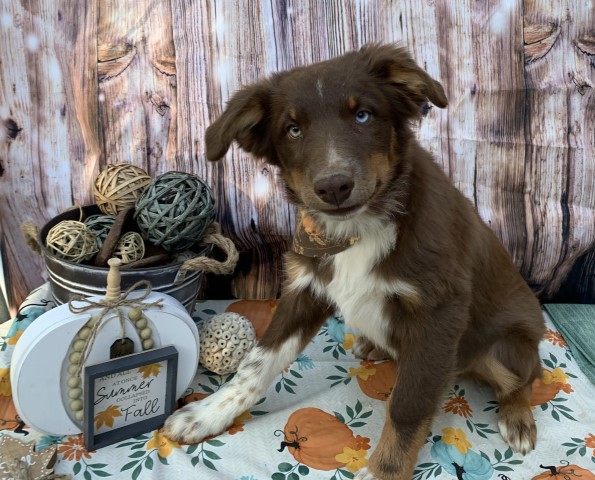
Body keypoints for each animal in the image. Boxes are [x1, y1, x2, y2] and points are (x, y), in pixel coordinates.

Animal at [165, 43, 548, 478]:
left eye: (363, 115)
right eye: (293, 129)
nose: (333, 186)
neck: (359, 229)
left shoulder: (438, 313)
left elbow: (408, 404)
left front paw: (385, 470)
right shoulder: (306, 288)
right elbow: (257, 363)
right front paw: (206, 414)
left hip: (505, 347)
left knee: (529, 375)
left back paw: (517, 417)